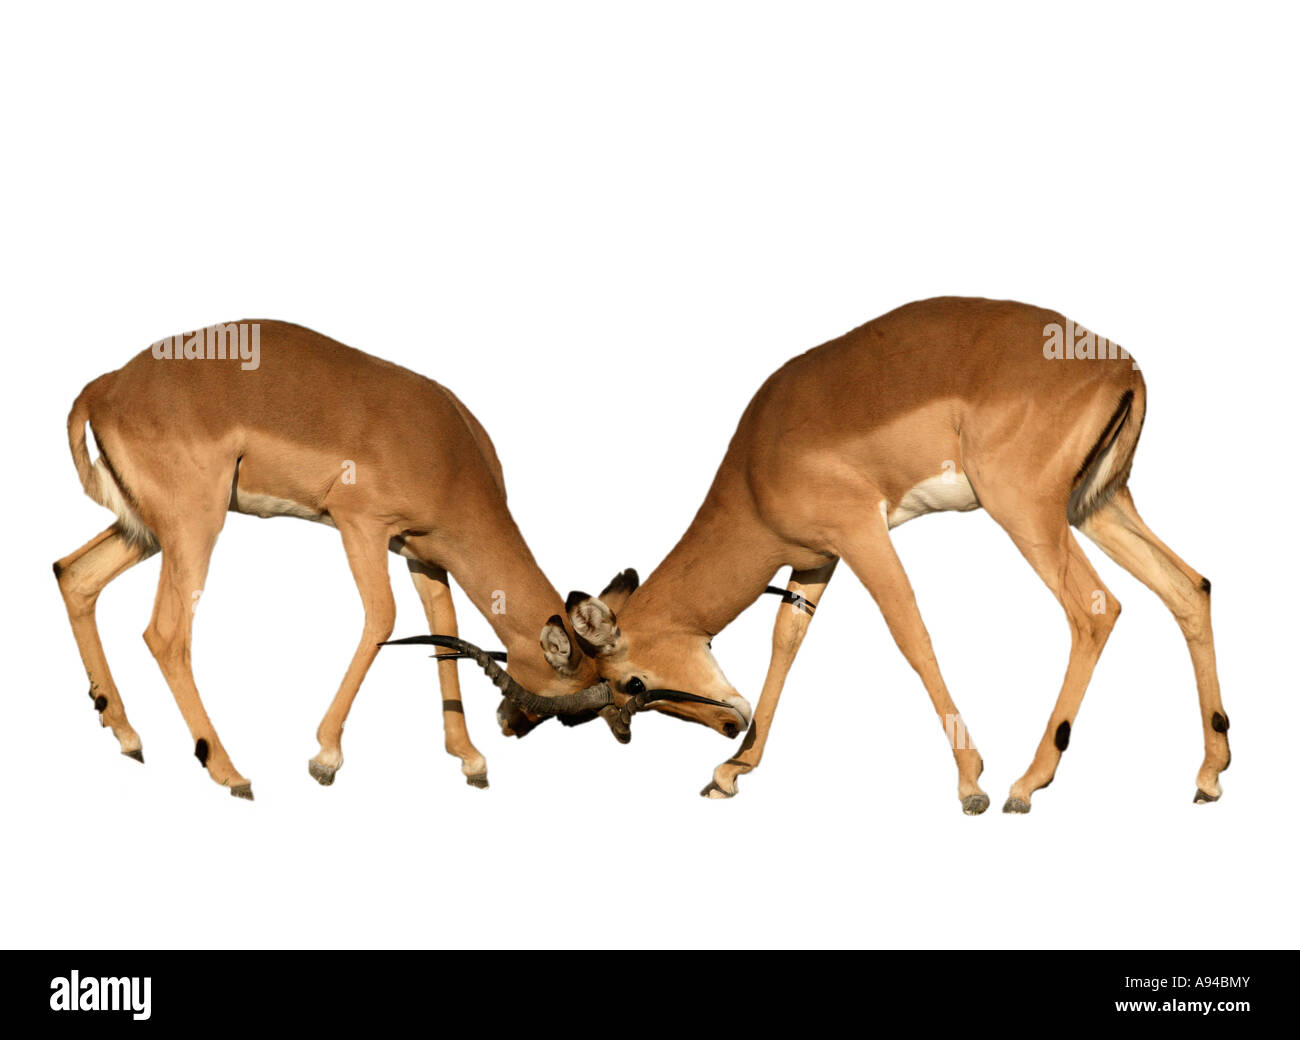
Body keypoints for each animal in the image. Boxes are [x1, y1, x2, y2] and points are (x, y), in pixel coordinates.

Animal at [55, 321, 644, 800]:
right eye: (572, 701)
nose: (505, 722)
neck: (449, 454)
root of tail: (104, 387)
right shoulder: (360, 526)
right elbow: (383, 617)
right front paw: (325, 757)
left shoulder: (422, 554)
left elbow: (445, 627)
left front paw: (470, 759)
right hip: (195, 528)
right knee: (165, 633)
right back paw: (231, 773)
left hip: (148, 532)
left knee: (74, 575)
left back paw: (128, 736)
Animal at [561, 296, 1227, 816]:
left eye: (631, 681)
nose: (730, 723)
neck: (755, 466)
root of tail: (1123, 366)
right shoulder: (817, 558)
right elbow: (785, 642)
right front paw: (731, 771)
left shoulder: (862, 534)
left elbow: (910, 632)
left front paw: (971, 784)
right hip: (1096, 506)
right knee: (1188, 586)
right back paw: (1209, 775)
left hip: (1027, 514)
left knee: (1097, 609)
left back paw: (1025, 784)